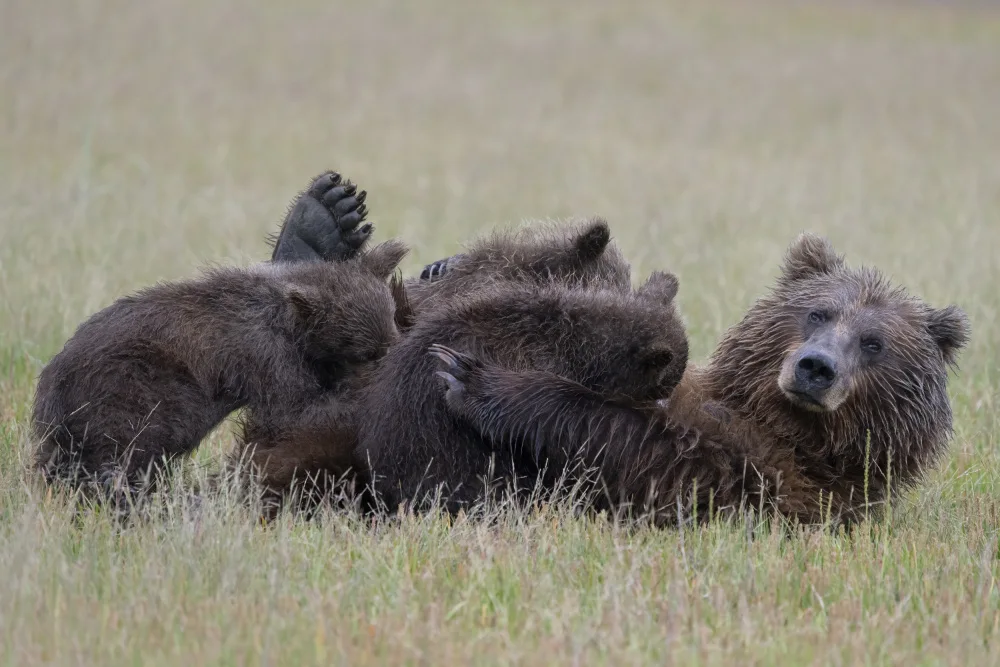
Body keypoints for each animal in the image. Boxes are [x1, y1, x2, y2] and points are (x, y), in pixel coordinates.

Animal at [31, 237, 409, 502]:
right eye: (365, 350)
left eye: (390, 327)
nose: (391, 356)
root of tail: (50, 389)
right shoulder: (263, 353)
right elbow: (296, 409)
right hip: (128, 386)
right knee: (124, 447)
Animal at [429, 233, 971, 526]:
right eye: (819, 312)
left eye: (873, 342)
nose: (816, 367)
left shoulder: (762, 478)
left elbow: (628, 446)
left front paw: (477, 380)